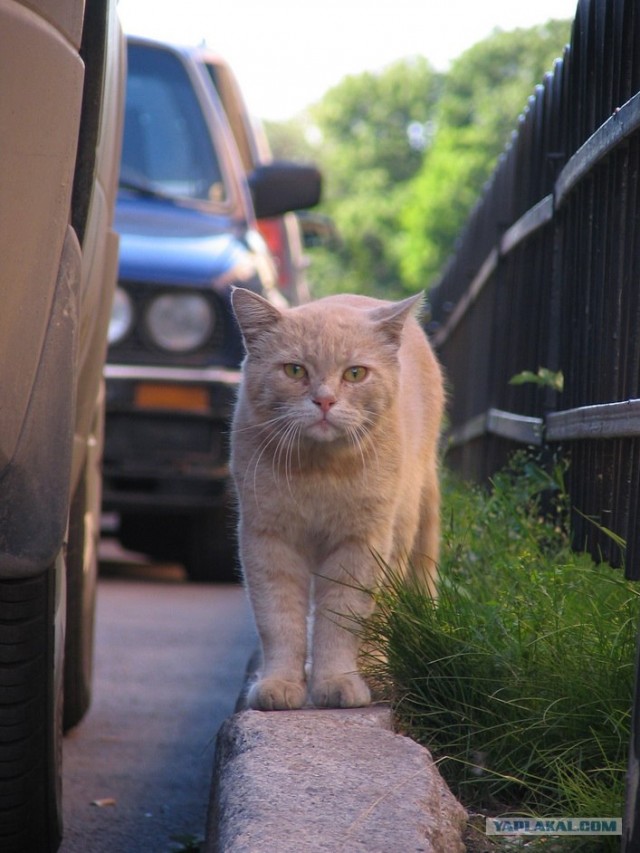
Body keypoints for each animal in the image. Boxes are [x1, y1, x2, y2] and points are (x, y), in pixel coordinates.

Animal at [230, 288, 444, 712]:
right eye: (295, 371)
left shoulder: (359, 546)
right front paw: (280, 683)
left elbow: (341, 621)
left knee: (382, 616)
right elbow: (279, 620)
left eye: (355, 374)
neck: (319, 472)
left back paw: (374, 673)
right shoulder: (268, 542)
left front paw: (336, 680)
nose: (325, 401)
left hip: (399, 534)